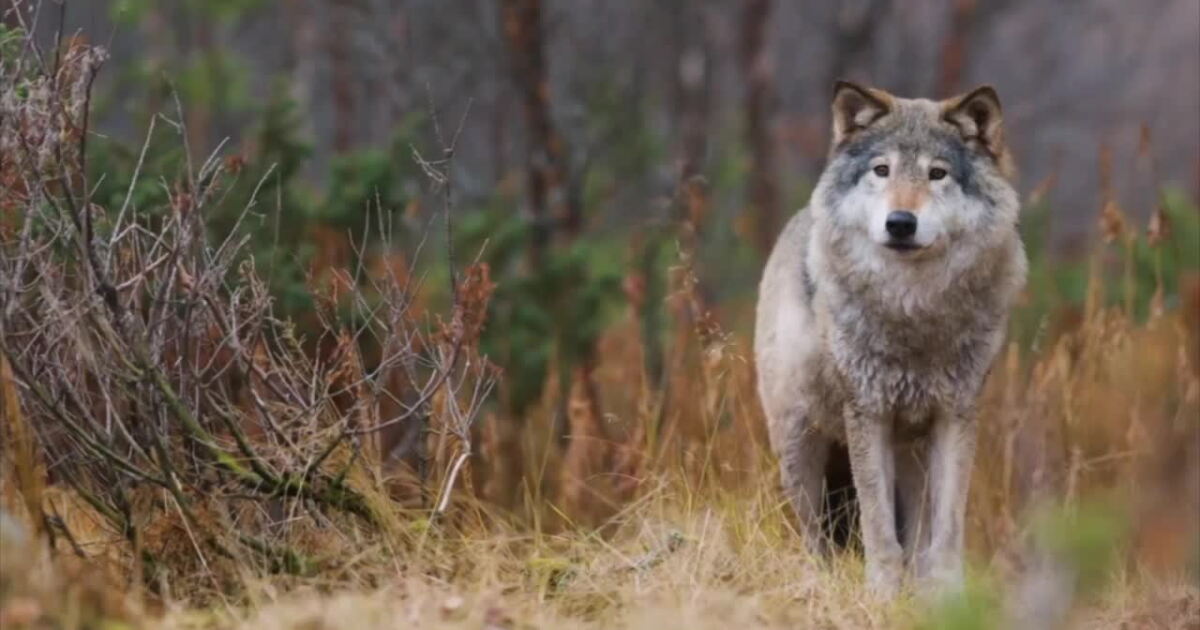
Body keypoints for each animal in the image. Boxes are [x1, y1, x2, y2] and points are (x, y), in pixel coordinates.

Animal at [755, 81, 1026, 597]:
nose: (901, 222)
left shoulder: (956, 416)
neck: (912, 312)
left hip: (911, 453)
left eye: (937, 174)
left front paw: (947, 596)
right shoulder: (868, 414)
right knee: (815, 535)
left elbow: (946, 528)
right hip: (801, 445)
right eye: (882, 170)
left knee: (917, 525)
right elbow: (878, 526)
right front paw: (881, 595)